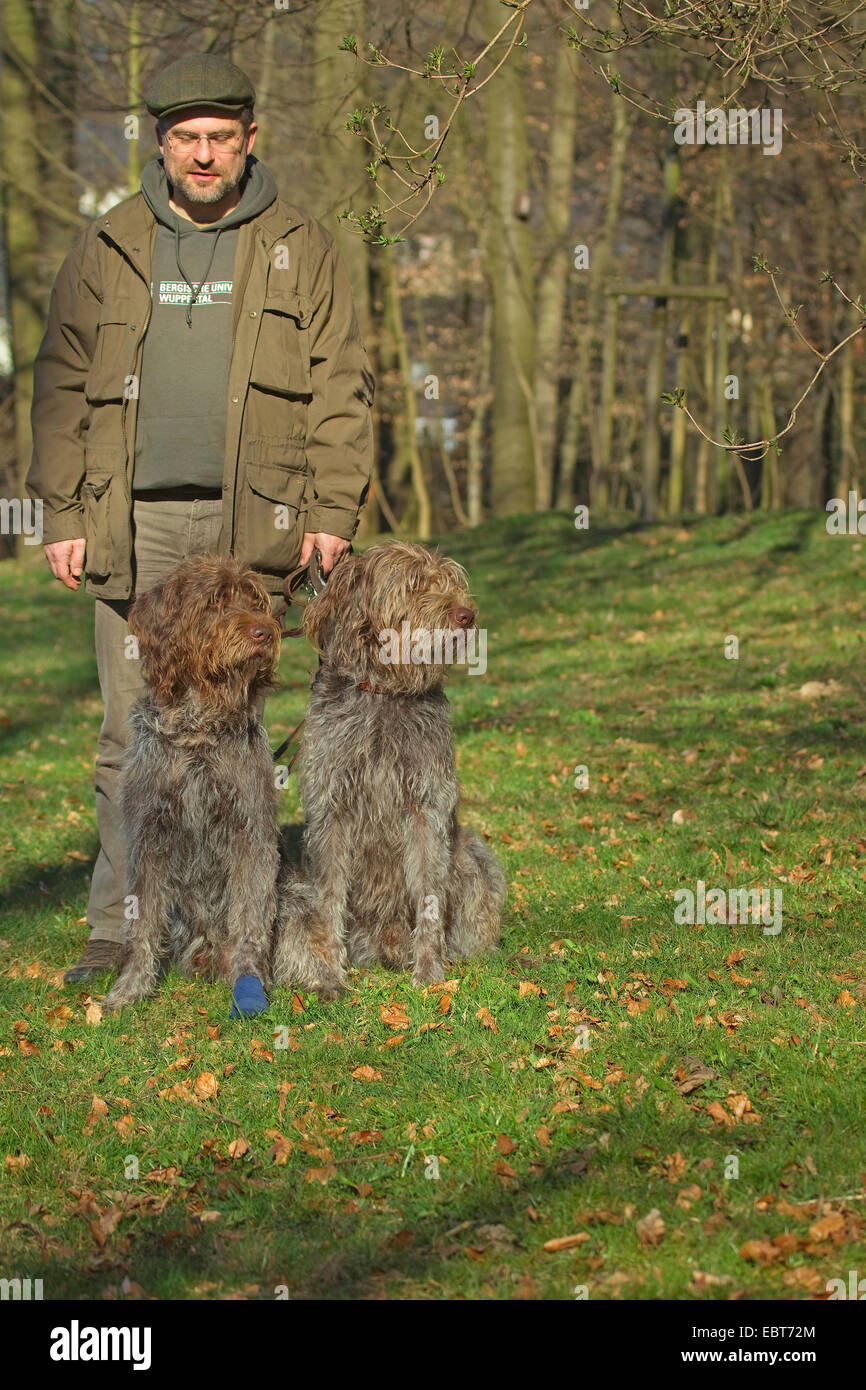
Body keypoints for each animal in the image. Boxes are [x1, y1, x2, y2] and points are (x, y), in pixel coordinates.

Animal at [272, 536, 508, 995]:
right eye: (415, 584)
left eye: (450, 581)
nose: (467, 614)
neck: (385, 691)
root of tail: (382, 950)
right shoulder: (332, 811)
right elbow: (329, 900)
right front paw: (330, 972)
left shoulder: (426, 809)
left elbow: (430, 895)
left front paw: (430, 971)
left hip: (472, 854)